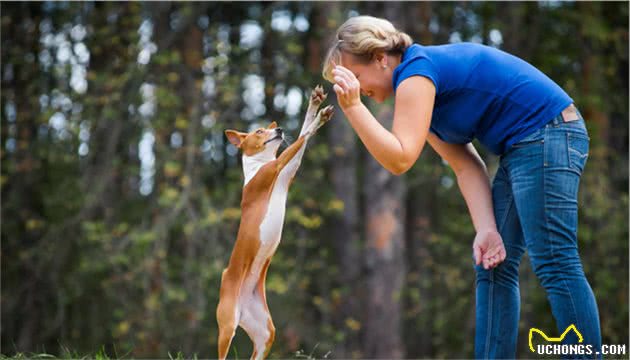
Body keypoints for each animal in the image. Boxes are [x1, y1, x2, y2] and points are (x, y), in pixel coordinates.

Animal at [217, 86, 336, 358]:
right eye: (259, 131)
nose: (279, 129)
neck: (258, 165)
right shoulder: (274, 168)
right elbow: (303, 137)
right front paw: (318, 119)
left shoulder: (287, 172)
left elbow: (301, 138)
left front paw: (314, 105)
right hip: (227, 327)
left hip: (265, 334)